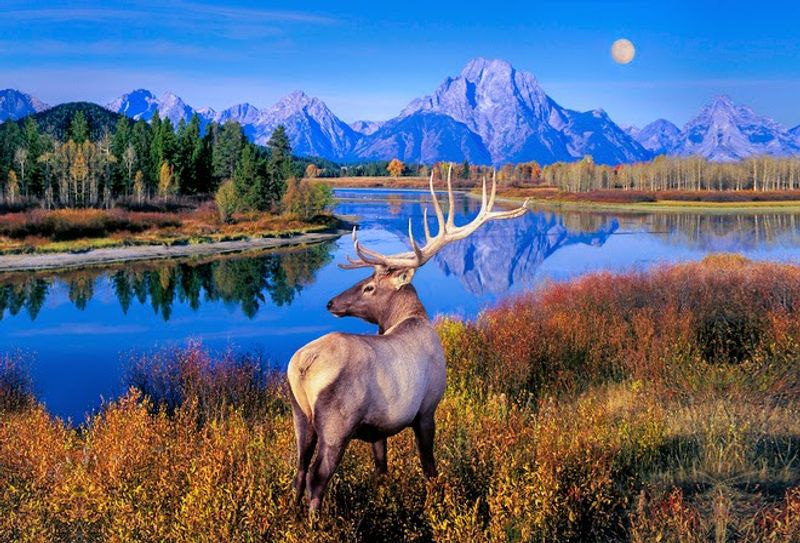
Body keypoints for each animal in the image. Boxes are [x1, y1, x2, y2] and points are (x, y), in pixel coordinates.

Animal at [287, 167, 529, 512]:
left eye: (369, 286)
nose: (331, 302)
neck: (412, 318)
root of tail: (302, 366)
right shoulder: (427, 409)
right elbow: (429, 466)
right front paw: (437, 500)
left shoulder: (378, 429)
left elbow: (381, 468)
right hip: (336, 425)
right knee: (316, 478)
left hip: (300, 416)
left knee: (298, 470)